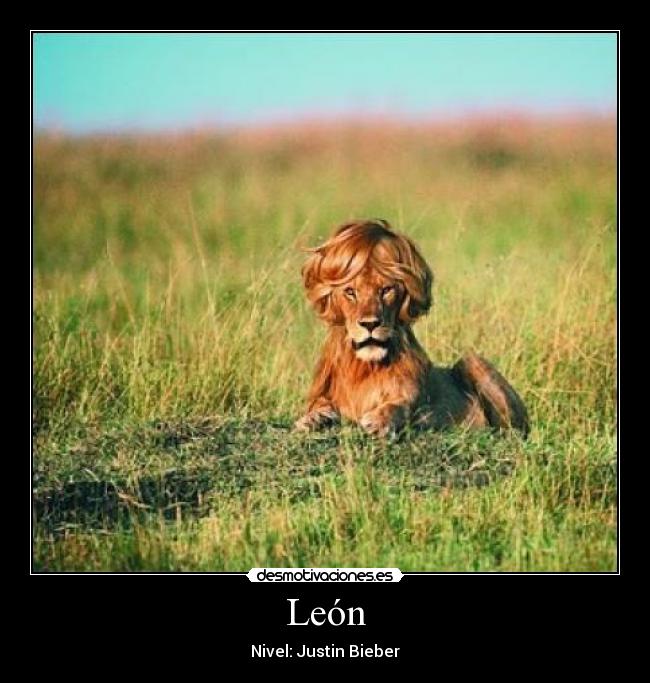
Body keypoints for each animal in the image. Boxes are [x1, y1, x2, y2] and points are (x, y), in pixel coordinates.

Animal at [295, 219, 529, 438]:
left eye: (386, 290)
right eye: (350, 292)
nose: (370, 324)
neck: (363, 368)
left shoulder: (418, 401)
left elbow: (400, 406)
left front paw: (379, 421)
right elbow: (322, 405)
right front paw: (313, 419)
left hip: (471, 361)